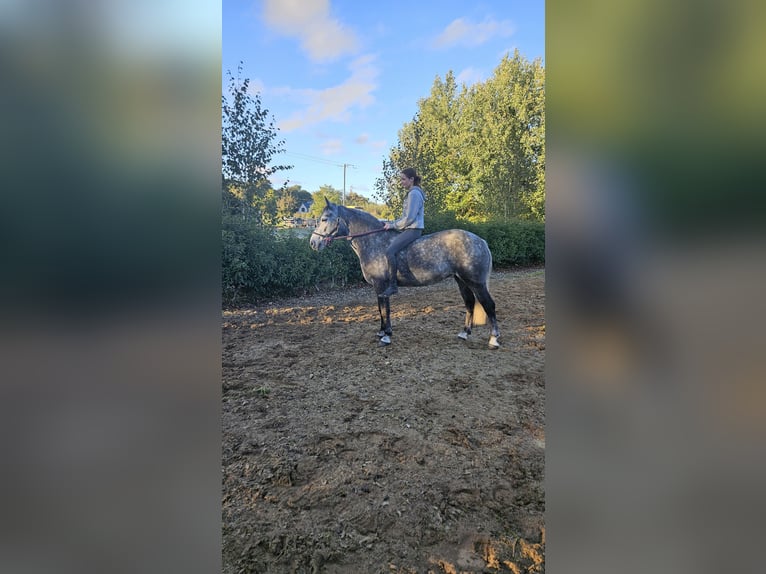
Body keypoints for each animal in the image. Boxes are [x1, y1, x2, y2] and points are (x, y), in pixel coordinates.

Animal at [309, 199, 500, 349]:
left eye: (324, 219)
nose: (313, 243)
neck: (373, 242)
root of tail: (480, 241)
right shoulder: (379, 288)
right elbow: (381, 308)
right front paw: (382, 332)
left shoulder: (381, 285)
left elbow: (384, 310)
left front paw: (386, 335)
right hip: (461, 280)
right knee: (469, 303)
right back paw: (464, 333)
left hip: (476, 282)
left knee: (489, 305)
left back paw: (494, 339)